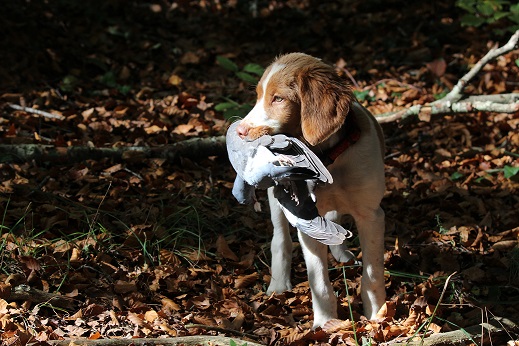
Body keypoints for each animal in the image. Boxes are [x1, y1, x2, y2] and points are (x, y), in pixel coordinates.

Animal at [236, 52, 386, 328]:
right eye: (258, 95)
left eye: (278, 98)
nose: (240, 131)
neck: (328, 158)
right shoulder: (306, 220)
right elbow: (319, 280)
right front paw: (326, 323)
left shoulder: (371, 215)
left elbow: (372, 274)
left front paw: (377, 315)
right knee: (280, 238)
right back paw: (279, 283)